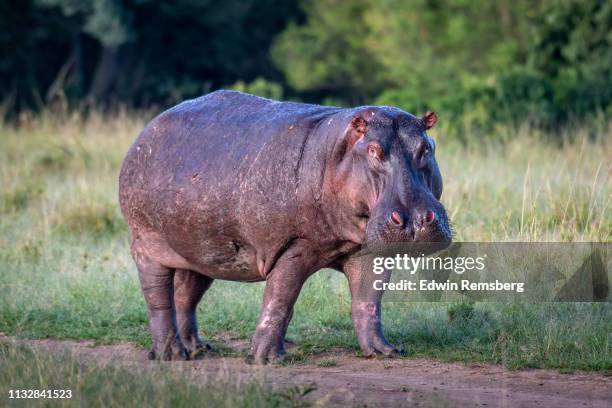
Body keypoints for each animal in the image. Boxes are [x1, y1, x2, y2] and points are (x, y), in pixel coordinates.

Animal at [119, 90, 452, 364]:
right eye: (372, 150)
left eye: (426, 147)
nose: (415, 221)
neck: (337, 152)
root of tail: (145, 133)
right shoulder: (296, 246)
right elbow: (281, 297)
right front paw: (265, 359)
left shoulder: (366, 250)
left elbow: (368, 300)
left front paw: (384, 351)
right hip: (147, 244)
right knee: (158, 298)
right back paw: (170, 355)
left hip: (200, 250)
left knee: (185, 295)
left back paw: (197, 349)